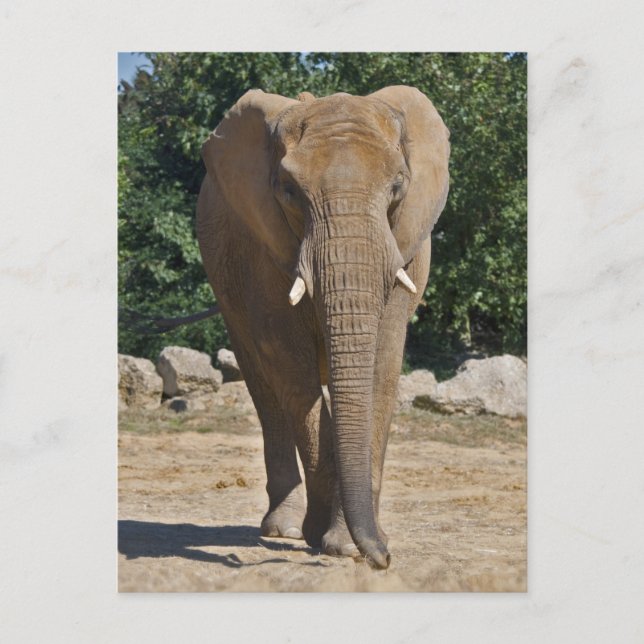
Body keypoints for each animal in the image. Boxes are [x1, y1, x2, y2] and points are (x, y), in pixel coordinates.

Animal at [196, 86, 450, 569]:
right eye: (289, 191)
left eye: (398, 187)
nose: (383, 560)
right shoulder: (264, 246)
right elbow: (289, 366)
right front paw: (335, 541)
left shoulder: (405, 244)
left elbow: (381, 364)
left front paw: (353, 543)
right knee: (263, 385)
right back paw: (285, 528)